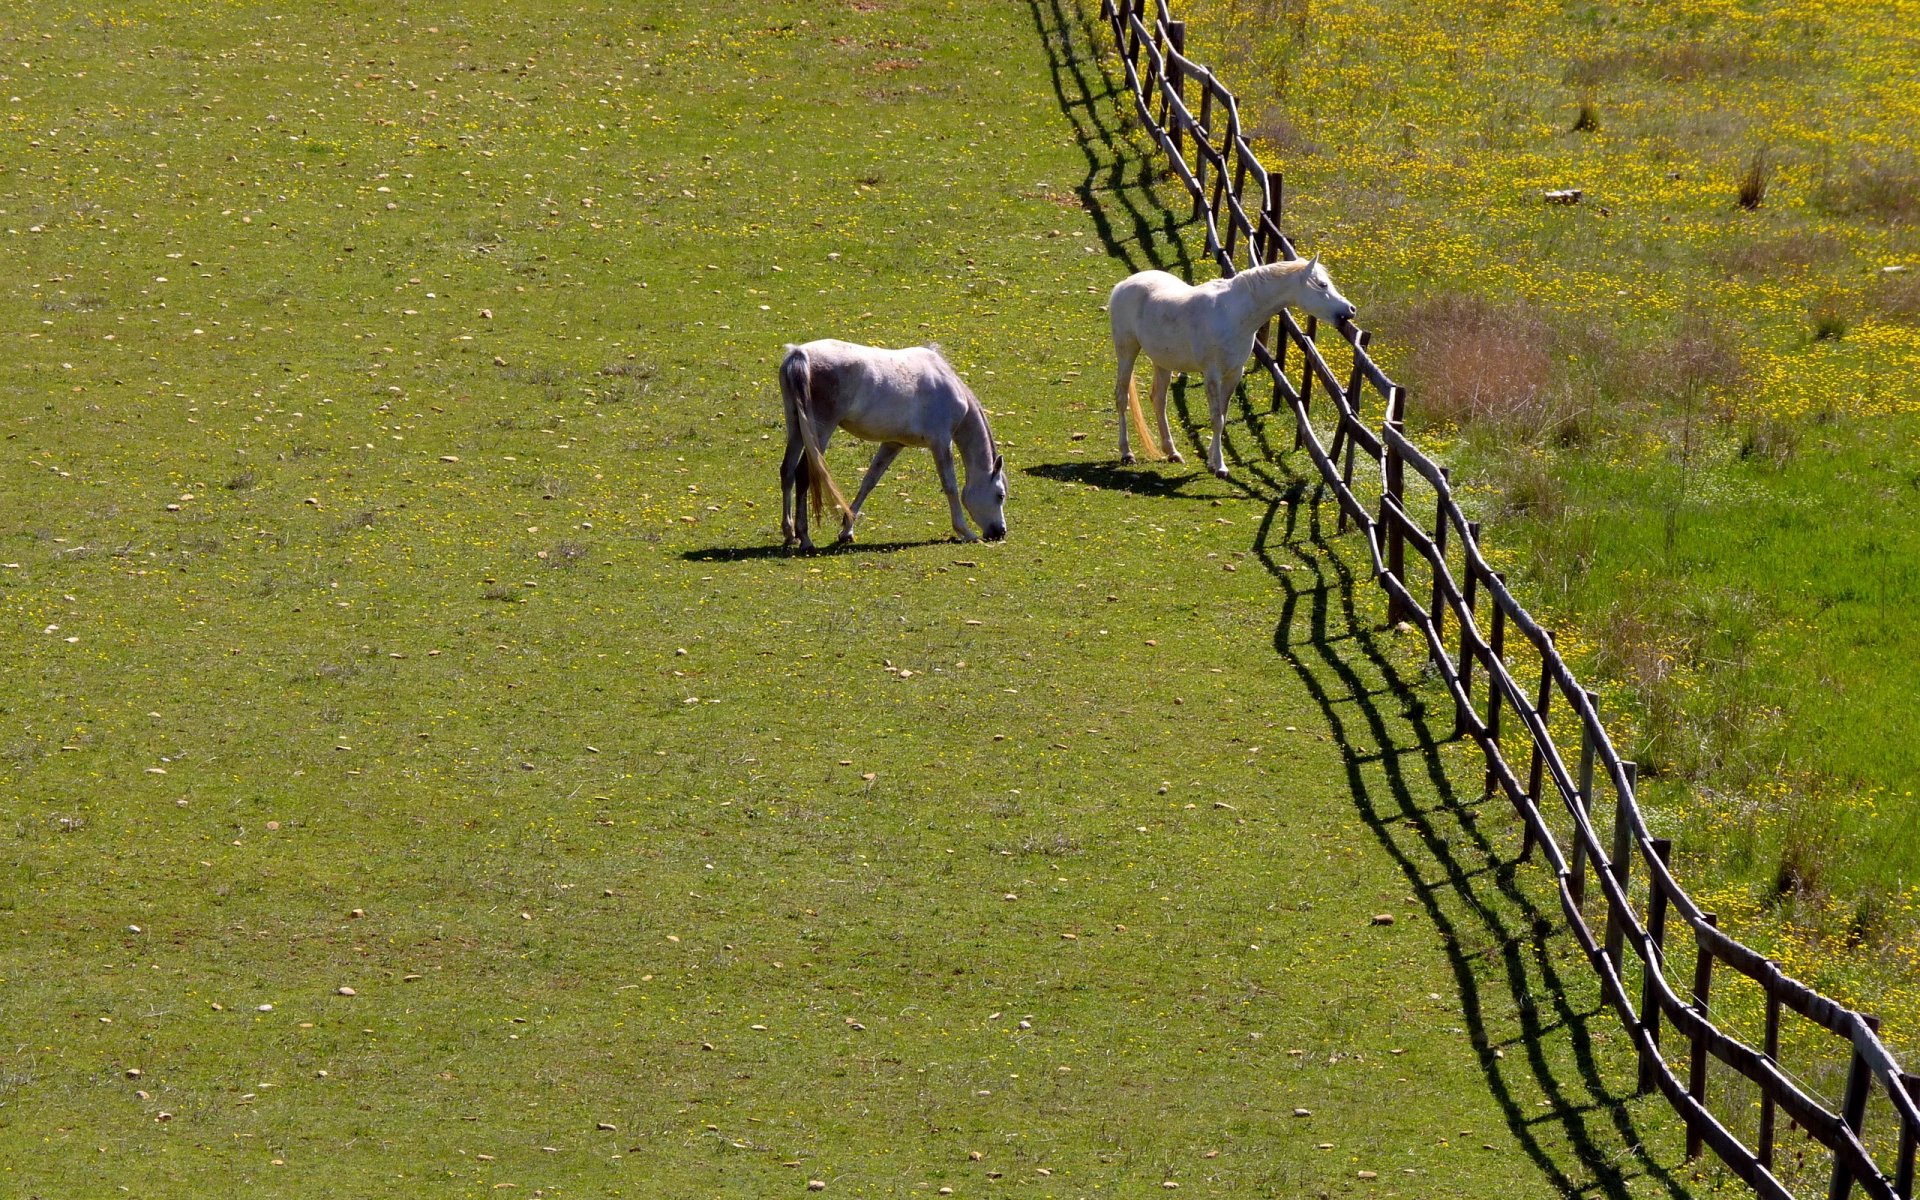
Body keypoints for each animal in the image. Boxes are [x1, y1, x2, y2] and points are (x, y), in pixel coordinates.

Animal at [775, 339, 1006, 549]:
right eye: (1000, 495)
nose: (1000, 532)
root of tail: (799, 354)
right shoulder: (940, 443)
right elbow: (950, 486)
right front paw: (965, 532)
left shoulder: (893, 444)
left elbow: (870, 480)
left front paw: (847, 530)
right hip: (820, 432)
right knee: (802, 474)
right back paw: (804, 538)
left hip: (796, 428)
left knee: (787, 471)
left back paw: (789, 534)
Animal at [1105, 253, 1359, 478]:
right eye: (1323, 284)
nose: (1350, 310)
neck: (1234, 313)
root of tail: (1124, 285)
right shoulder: (1212, 374)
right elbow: (1216, 418)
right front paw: (1220, 467)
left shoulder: (1234, 374)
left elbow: (1223, 416)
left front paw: (1212, 462)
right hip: (1127, 352)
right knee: (1121, 397)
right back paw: (1127, 453)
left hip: (1163, 362)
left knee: (1159, 400)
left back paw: (1172, 453)